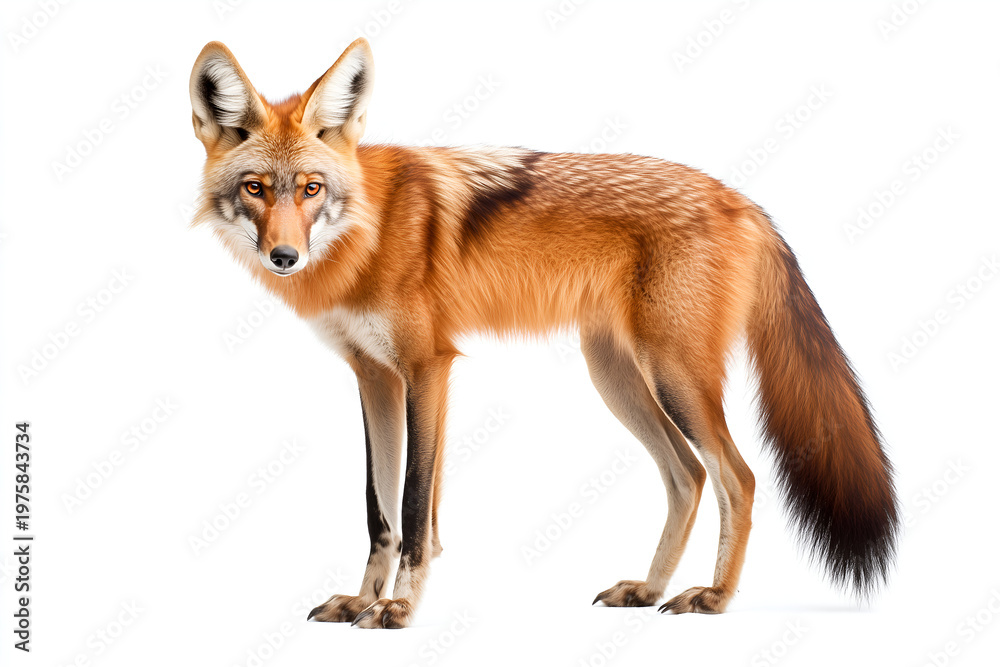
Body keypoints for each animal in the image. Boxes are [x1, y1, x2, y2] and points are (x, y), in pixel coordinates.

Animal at [189, 38, 899, 629]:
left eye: (311, 189)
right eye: (256, 189)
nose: (284, 257)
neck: (370, 229)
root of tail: (745, 202)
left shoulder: (428, 367)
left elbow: (416, 508)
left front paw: (400, 608)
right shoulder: (374, 376)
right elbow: (379, 510)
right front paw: (363, 600)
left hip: (672, 378)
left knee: (739, 479)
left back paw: (715, 597)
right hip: (617, 378)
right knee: (688, 477)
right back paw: (650, 589)